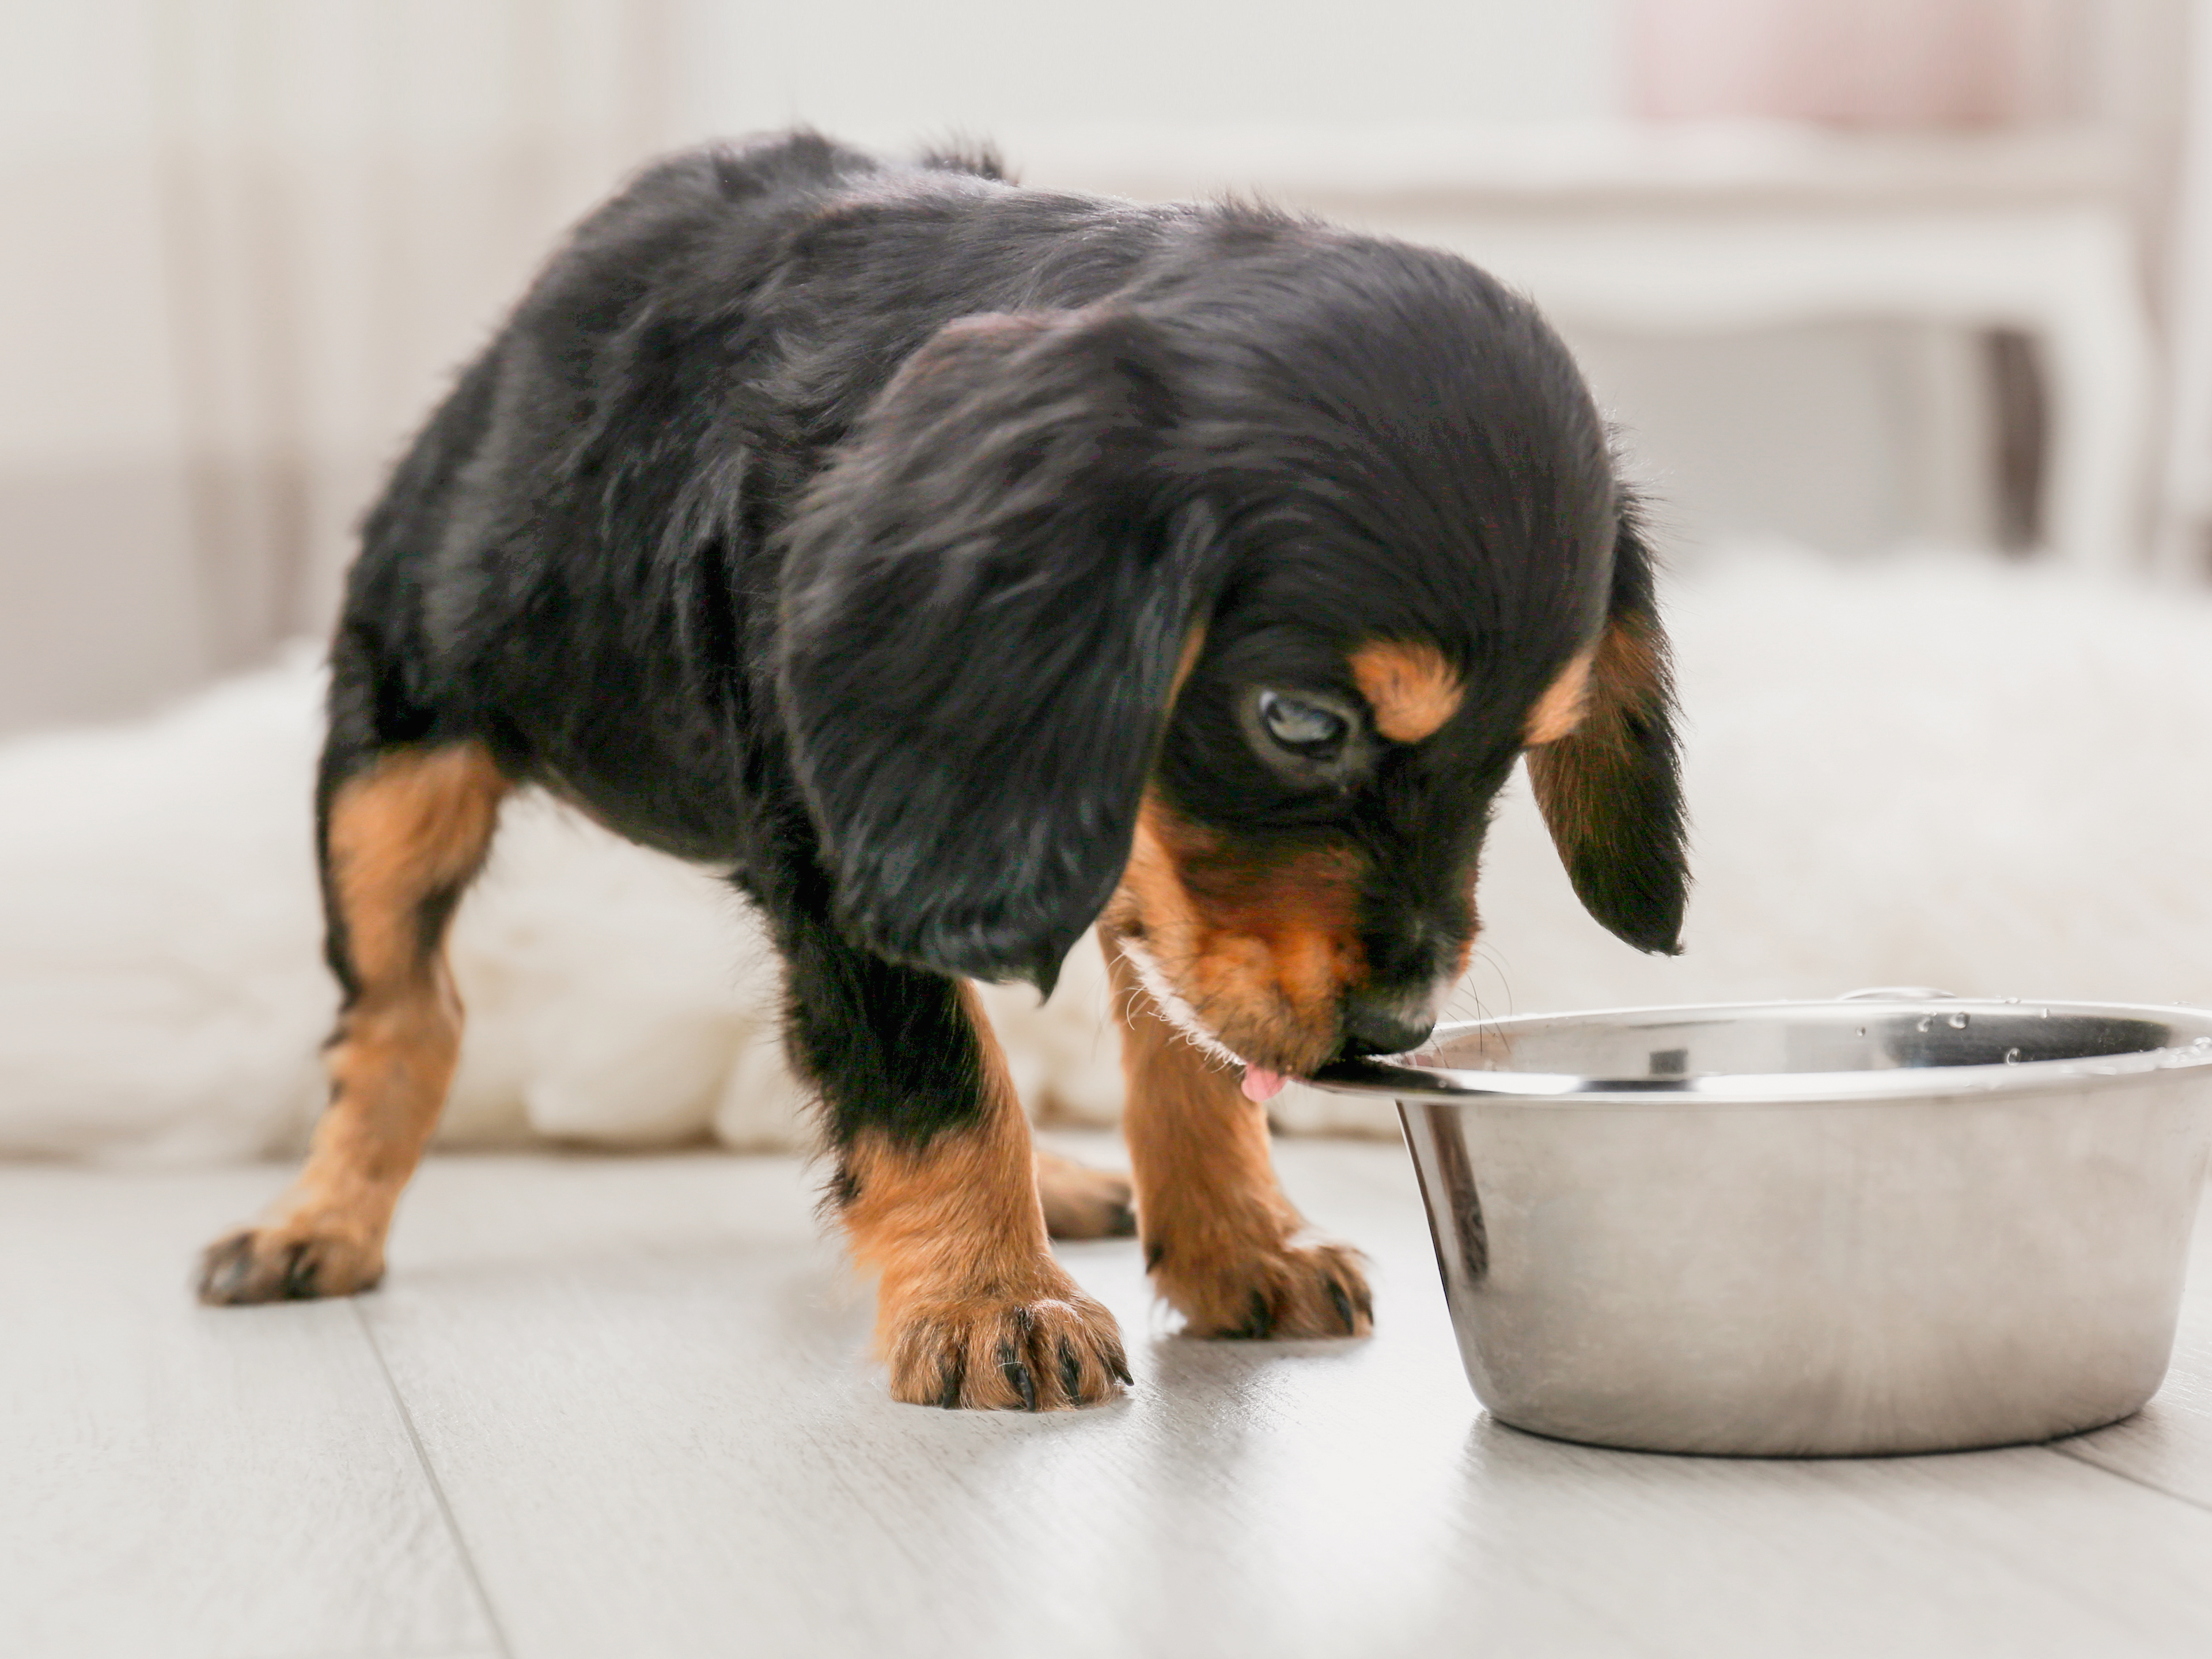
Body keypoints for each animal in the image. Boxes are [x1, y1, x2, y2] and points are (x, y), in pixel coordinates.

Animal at [199, 130, 1681, 1407]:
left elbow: (1184, 1048)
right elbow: (936, 1079)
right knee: (406, 1016)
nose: (1394, 1032)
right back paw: (317, 1222)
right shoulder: (854, 862)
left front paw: (1234, 1248)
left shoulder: (1122, 849)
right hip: (397, 766)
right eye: (1302, 723)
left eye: (1526, 753)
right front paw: (988, 1303)